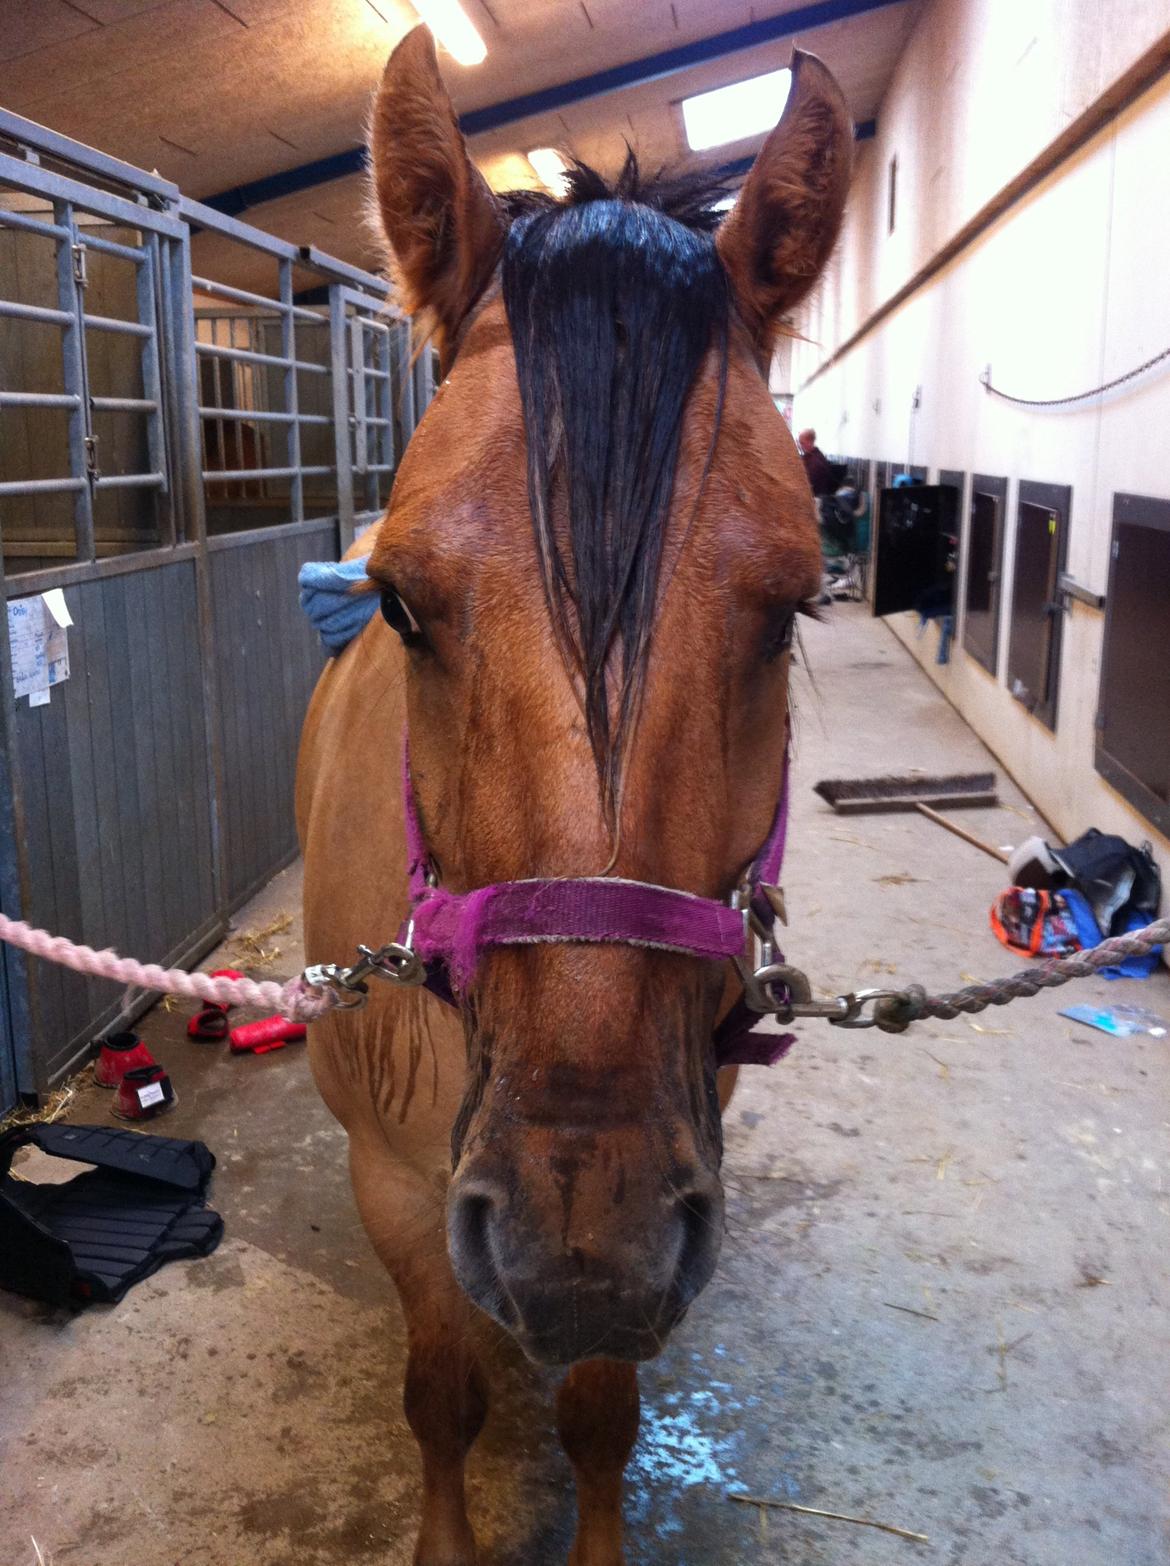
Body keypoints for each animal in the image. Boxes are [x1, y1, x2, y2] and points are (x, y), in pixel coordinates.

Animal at [297, 25, 850, 1564]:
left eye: (793, 609)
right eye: (400, 604)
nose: (577, 1242)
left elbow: (601, 1414)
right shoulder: (390, 1181)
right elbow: (439, 1394)